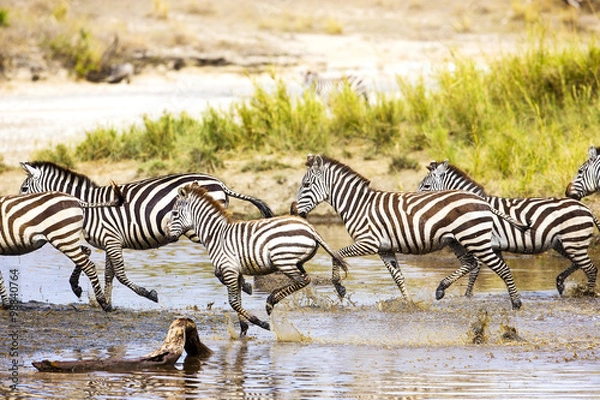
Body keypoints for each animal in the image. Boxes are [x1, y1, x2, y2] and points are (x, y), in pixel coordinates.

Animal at [17, 161, 274, 308]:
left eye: (23, 189)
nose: (17, 208)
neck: (88, 206)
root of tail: (219, 182)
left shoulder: (111, 239)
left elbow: (119, 275)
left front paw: (149, 294)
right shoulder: (110, 241)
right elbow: (108, 274)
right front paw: (105, 301)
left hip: (197, 228)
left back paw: (244, 284)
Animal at [166, 183, 350, 336]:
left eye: (174, 213)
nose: (167, 235)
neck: (216, 235)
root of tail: (310, 228)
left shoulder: (228, 269)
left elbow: (233, 302)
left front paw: (261, 323)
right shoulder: (233, 271)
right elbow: (237, 298)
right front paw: (243, 328)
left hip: (282, 260)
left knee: (303, 280)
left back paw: (271, 301)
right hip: (295, 262)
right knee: (304, 279)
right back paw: (271, 299)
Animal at [290, 154, 524, 310]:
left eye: (306, 184)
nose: (293, 211)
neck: (358, 205)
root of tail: (482, 200)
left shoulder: (369, 242)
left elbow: (337, 254)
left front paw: (339, 287)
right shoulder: (384, 249)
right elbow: (397, 277)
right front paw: (408, 302)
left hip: (475, 240)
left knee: (501, 268)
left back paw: (516, 303)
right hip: (457, 240)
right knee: (471, 264)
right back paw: (441, 289)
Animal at [420, 161, 596, 296]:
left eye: (426, 186)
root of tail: (587, 208)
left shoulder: (480, 242)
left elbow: (474, 270)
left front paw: (467, 296)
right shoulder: (493, 246)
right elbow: (492, 269)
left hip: (574, 240)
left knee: (590, 268)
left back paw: (588, 293)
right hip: (562, 243)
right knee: (578, 263)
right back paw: (560, 283)